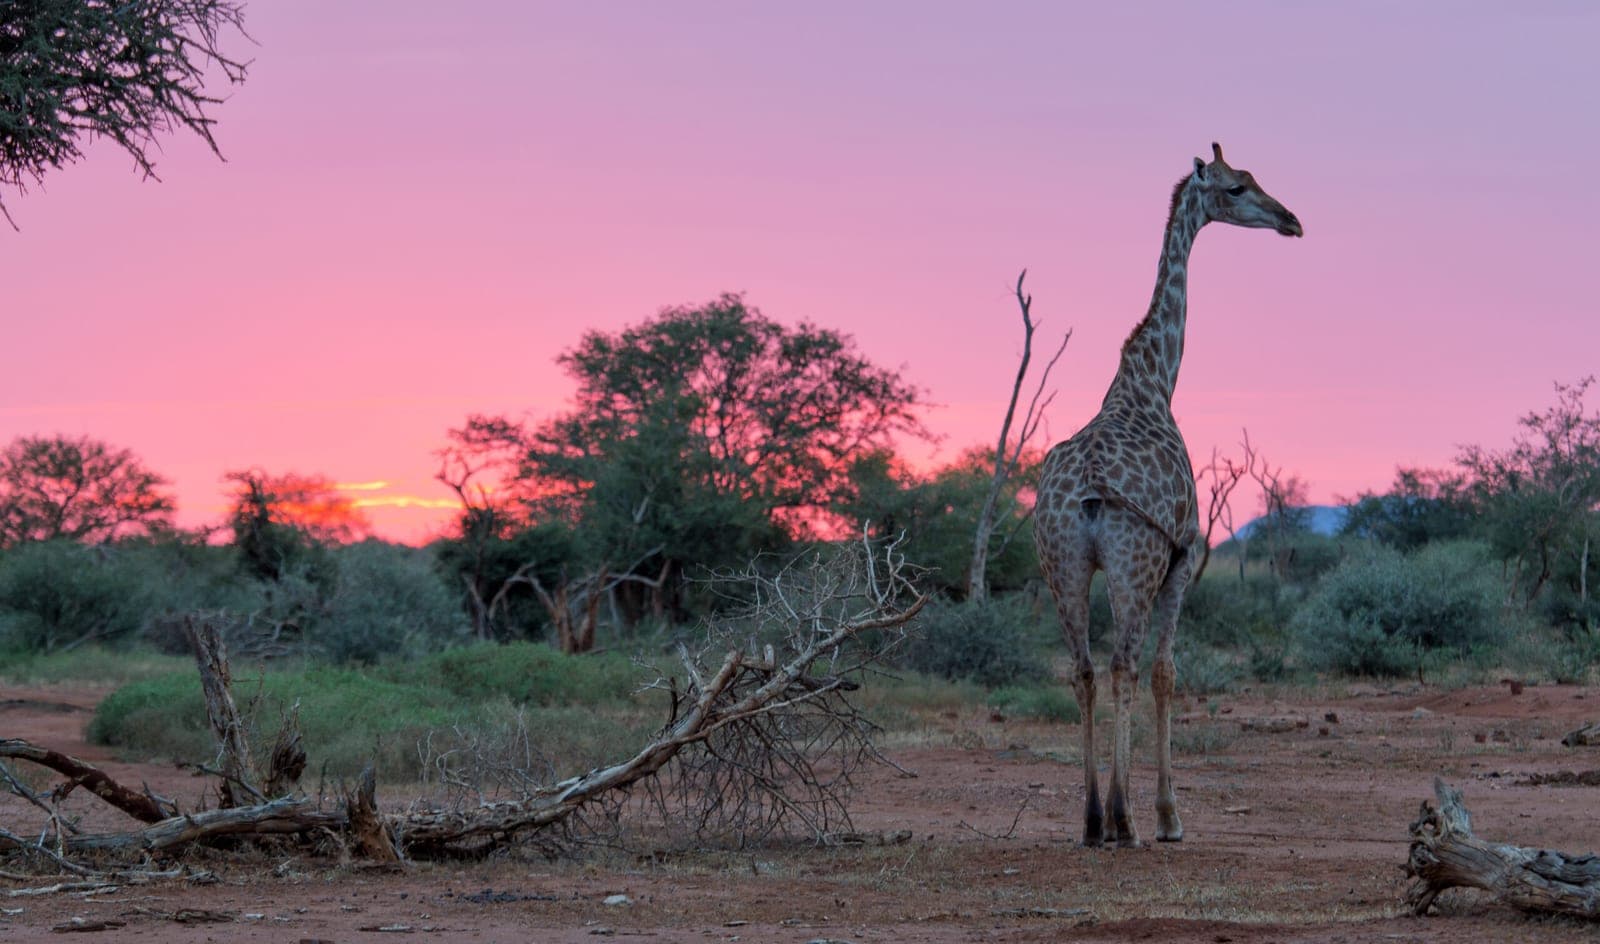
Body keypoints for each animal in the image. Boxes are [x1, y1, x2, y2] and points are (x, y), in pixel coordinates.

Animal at [1033, 142, 1301, 848]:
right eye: (1237, 188)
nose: (1291, 220)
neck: (1154, 380)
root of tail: (1090, 494)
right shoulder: (1182, 556)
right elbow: (1165, 673)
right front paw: (1168, 815)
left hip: (1062, 565)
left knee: (1084, 669)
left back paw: (1092, 820)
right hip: (1137, 561)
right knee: (1124, 665)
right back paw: (1123, 819)